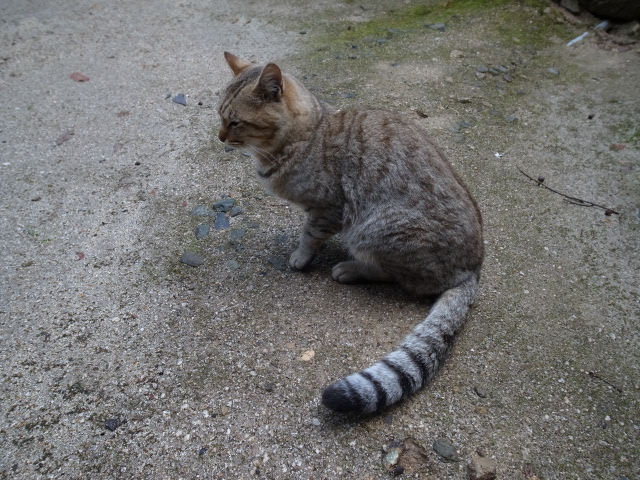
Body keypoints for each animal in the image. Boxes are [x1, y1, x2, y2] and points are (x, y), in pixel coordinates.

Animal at [218, 51, 482, 412]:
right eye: (219, 116)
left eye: (235, 122)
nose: (219, 137)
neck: (308, 134)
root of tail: (474, 269)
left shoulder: (328, 209)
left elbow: (309, 235)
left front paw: (300, 257)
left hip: (373, 228)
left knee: (398, 277)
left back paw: (351, 268)